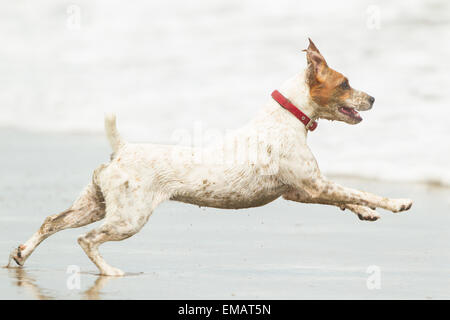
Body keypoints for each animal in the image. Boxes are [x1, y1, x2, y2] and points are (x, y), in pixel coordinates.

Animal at [8, 39, 414, 276]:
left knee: (52, 222)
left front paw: (366, 213)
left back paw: (23, 253)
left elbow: (346, 199)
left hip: (95, 204)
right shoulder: (313, 184)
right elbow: (360, 191)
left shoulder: (301, 191)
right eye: (345, 83)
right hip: (128, 219)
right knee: (87, 239)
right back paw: (109, 272)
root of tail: (121, 149)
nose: (373, 98)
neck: (285, 117)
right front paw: (396, 202)